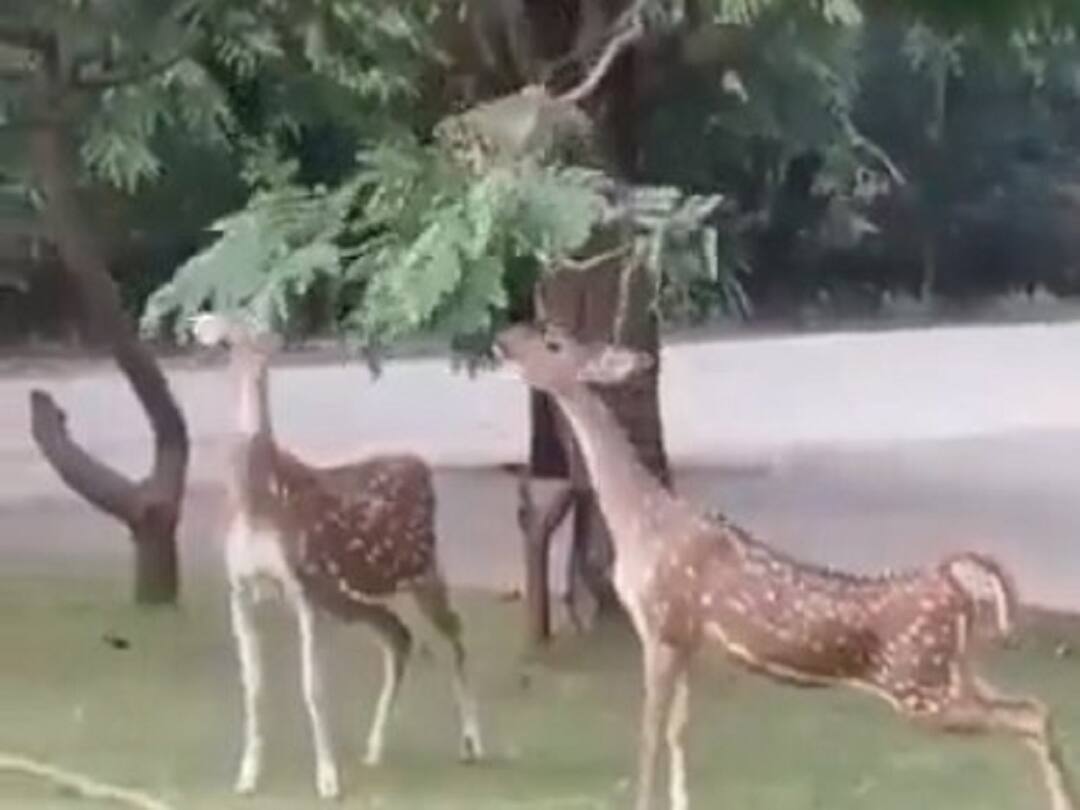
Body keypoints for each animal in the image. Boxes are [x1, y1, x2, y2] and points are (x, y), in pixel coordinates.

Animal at [190, 313, 482, 800]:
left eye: (260, 338)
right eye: (227, 338)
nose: (253, 367)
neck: (257, 502)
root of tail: (422, 467)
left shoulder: (305, 584)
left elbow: (314, 686)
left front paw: (327, 779)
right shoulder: (240, 587)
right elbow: (253, 687)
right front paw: (247, 775)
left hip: (422, 568)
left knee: (453, 634)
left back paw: (473, 743)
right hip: (350, 594)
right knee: (399, 636)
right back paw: (374, 748)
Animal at [493, 321, 1076, 810]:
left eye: (553, 342)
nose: (503, 339)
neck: (639, 521)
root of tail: (953, 576)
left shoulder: (661, 622)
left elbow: (649, 735)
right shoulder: (688, 639)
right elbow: (679, 732)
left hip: (920, 683)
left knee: (1028, 715)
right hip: (952, 670)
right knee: (1039, 708)